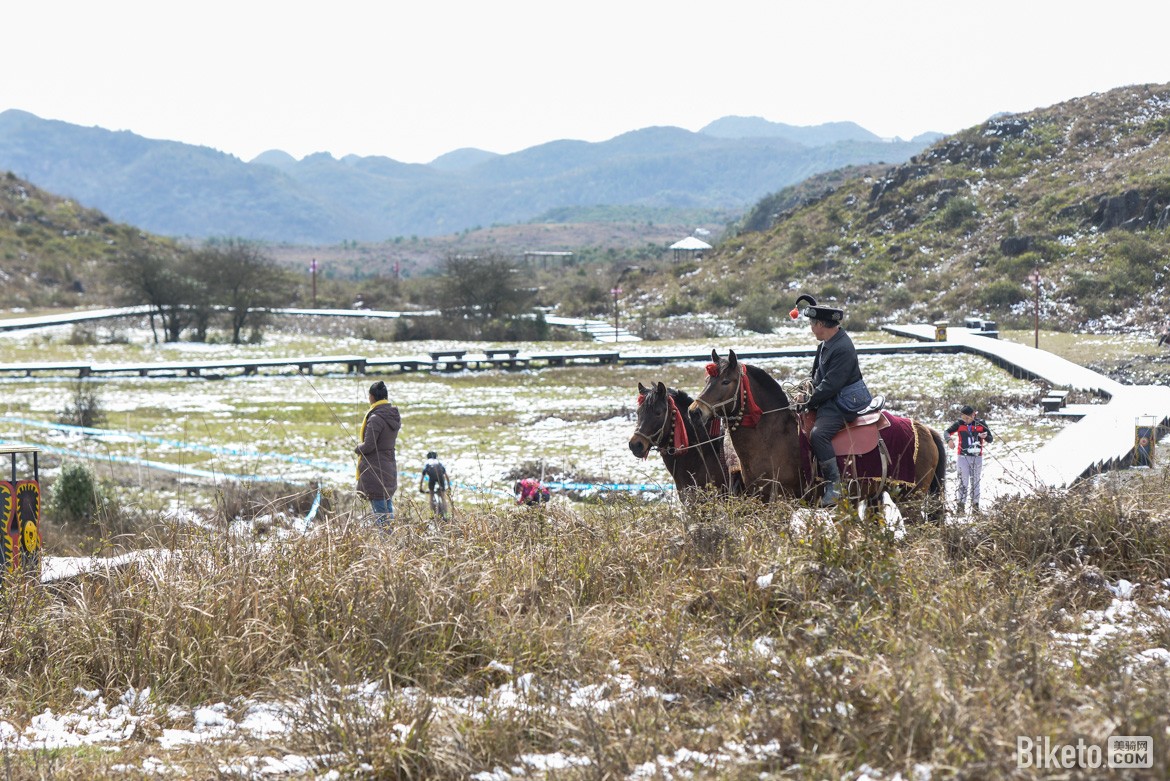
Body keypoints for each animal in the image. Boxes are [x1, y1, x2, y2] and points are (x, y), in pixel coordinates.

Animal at [683, 348, 950, 519]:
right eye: (707, 379)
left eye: (726, 381)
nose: (694, 412)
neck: (770, 435)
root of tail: (926, 430)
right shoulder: (759, 500)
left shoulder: (781, 501)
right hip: (877, 495)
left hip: (911, 499)